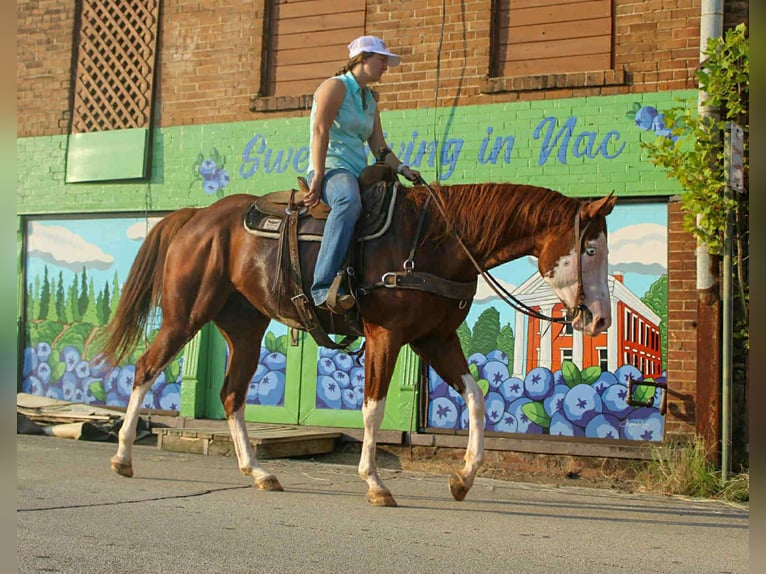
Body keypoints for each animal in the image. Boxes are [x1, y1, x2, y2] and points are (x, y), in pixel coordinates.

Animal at [99, 176, 616, 507]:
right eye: (590, 248)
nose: (601, 319)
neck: (435, 243)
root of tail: (196, 217)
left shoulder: (435, 338)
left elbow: (475, 399)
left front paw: (464, 477)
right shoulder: (386, 336)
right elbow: (373, 408)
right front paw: (375, 483)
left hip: (245, 327)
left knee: (231, 394)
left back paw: (259, 472)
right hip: (185, 314)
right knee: (146, 368)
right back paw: (122, 457)